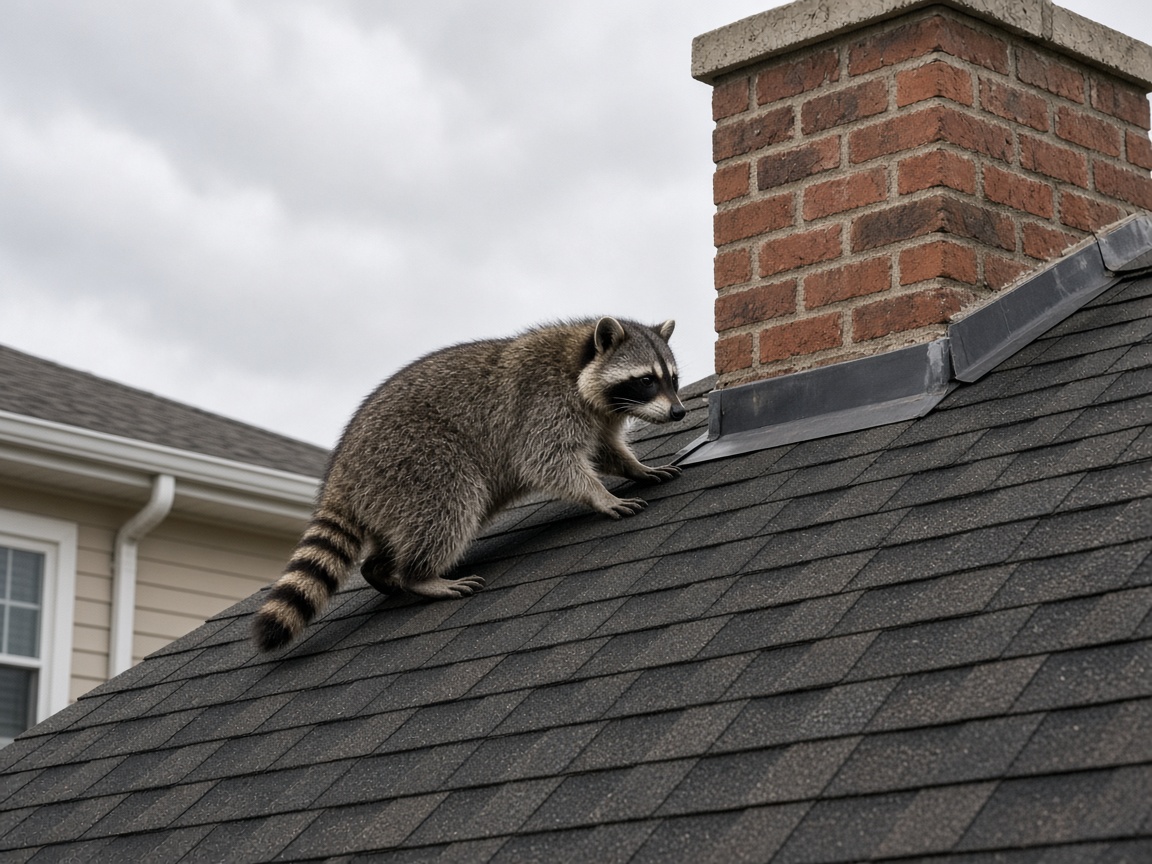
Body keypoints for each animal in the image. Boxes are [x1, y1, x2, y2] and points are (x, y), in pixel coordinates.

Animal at [252, 316, 685, 651]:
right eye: (646, 380)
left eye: (674, 380)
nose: (679, 412)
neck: (577, 362)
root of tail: (341, 472)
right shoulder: (544, 405)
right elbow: (546, 461)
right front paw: (600, 495)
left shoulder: (597, 416)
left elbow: (605, 450)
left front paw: (635, 467)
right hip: (414, 461)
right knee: (451, 504)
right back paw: (420, 576)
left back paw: (382, 570)